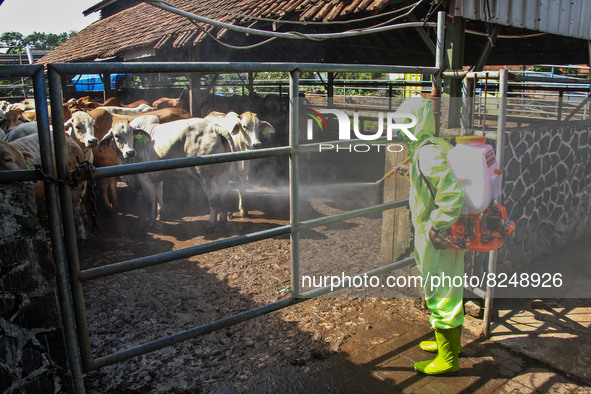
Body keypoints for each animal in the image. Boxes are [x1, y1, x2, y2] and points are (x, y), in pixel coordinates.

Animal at [100, 115, 236, 223]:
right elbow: (159, 195)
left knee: (213, 196)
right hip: (222, 173)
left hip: (205, 176)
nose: (130, 152)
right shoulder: (157, 177)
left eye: (131, 133)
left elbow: (151, 198)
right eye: (116, 135)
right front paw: (161, 214)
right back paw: (223, 218)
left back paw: (212, 221)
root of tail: (213, 127)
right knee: (224, 192)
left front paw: (151, 219)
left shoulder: (144, 179)